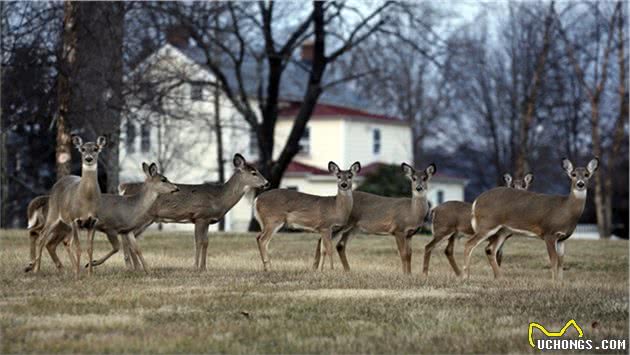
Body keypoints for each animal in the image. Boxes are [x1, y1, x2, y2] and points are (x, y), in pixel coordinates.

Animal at [32, 136, 107, 278]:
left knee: (62, 242)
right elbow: (78, 247)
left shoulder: (94, 221)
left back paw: (68, 269)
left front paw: (89, 274)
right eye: (82, 149)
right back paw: (36, 270)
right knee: (42, 237)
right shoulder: (75, 219)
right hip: (54, 214)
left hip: (65, 224)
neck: (87, 201)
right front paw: (78, 275)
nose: (88, 158)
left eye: (96, 149)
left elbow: (90, 248)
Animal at [466, 159, 600, 280]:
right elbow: (553, 260)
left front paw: (561, 283)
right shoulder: (549, 233)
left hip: (502, 231)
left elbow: (561, 261)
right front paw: (554, 283)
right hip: (487, 224)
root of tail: (476, 201)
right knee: (470, 244)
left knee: (490, 249)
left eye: (587, 174)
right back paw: (465, 276)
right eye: (573, 174)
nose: (580, 184)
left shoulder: (562, 238)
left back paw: (500, 278)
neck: (565, 208)